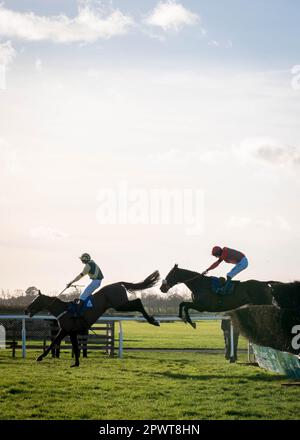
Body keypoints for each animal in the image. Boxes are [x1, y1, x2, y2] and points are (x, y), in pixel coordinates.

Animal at [24, 270, 161, 366]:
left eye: (36, 300)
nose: (26, 310)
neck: (64, 310)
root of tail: (118, 283)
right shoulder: (70, 331)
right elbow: (72, 346)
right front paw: (76, 363)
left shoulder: (66, 330)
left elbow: (54, 343)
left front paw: (40, 357)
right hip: (119, 304)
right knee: (137, 301)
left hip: (119, 305)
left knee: (138, 301)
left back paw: (153, 321)